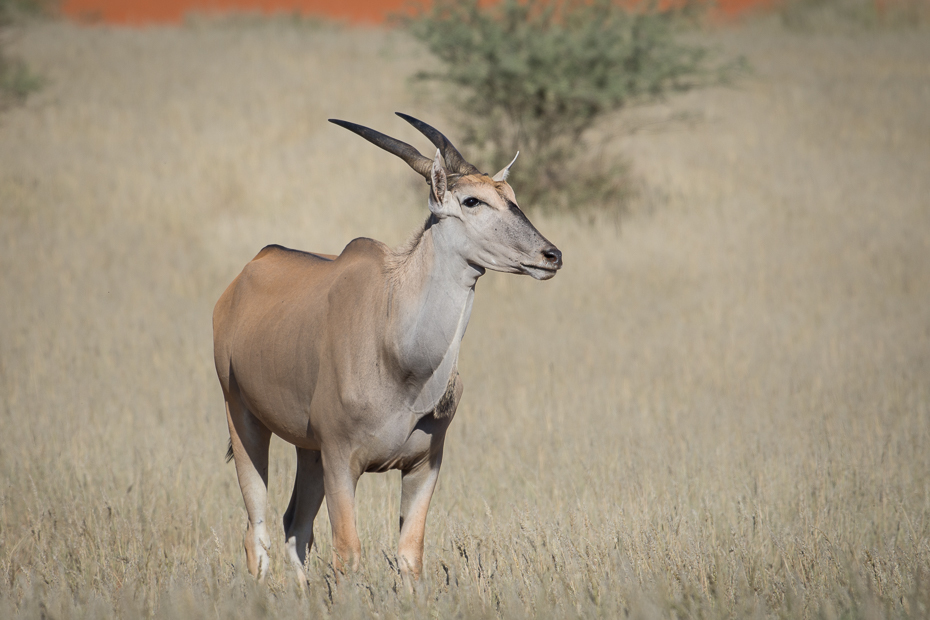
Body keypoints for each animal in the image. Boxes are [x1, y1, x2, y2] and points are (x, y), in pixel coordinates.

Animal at [212, 114, 560, 584]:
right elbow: (348, 554)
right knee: (259, 534)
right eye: (472, 200)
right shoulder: (342, 462)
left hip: (309, 452)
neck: (401, 358)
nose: (550, 255)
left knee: (296, 529)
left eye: (513, 198)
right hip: (244, 420)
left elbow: (410, 556)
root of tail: (244, 277)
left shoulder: (423, 466)